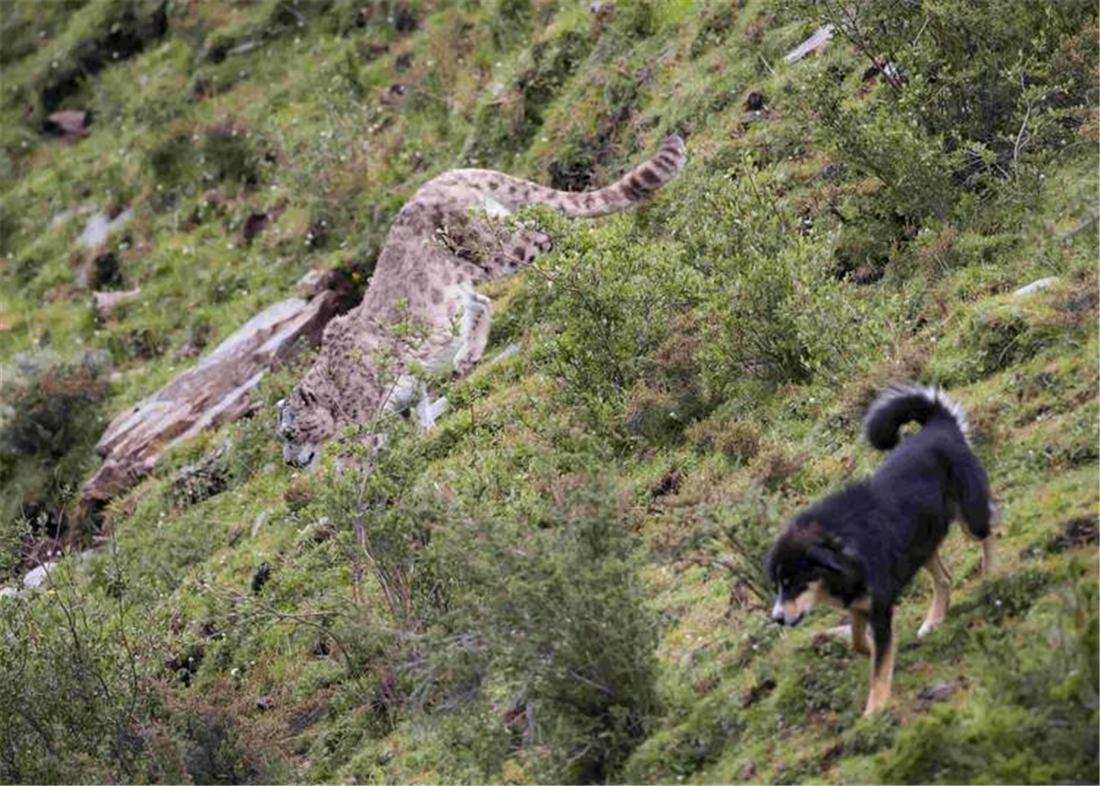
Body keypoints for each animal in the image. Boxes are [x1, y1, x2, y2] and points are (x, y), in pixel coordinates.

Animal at [770, 384, 994, 716]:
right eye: (777, 585)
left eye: (793, 583)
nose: (776, 618)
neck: (841, 546)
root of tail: (938, 423)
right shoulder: (861, 603)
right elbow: (858, 640)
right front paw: (866, 647)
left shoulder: (879, 605)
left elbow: (879, 665)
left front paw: (875, 709)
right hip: (920, 542)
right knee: (944, 579)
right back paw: (934, 620)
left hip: (969, 516)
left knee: (988, 533)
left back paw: (991, 576)